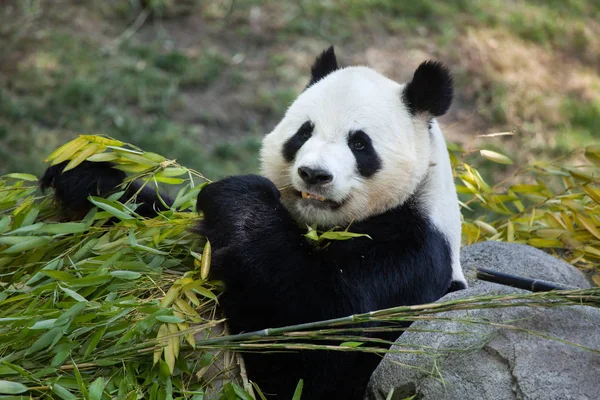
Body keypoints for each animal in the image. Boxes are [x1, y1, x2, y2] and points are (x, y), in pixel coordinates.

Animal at [39, 47, 466, 400]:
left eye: (359, 144)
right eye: (303, 132)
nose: (314, 174)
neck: (323, 224)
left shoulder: (412, 253)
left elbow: (317, 334)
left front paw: (239, 196)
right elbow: (158, 216)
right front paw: (85, 177)